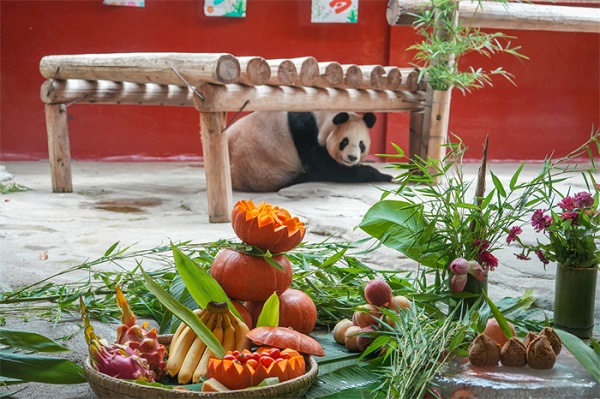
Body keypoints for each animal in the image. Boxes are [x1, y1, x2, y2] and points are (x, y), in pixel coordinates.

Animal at [227, 110, 392, 193]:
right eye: (344, 142)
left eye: (361, 144)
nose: (352, 158)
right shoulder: (307, 136)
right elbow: (329, 169)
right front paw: (384, 176)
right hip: (259, 166)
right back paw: (304, 177)